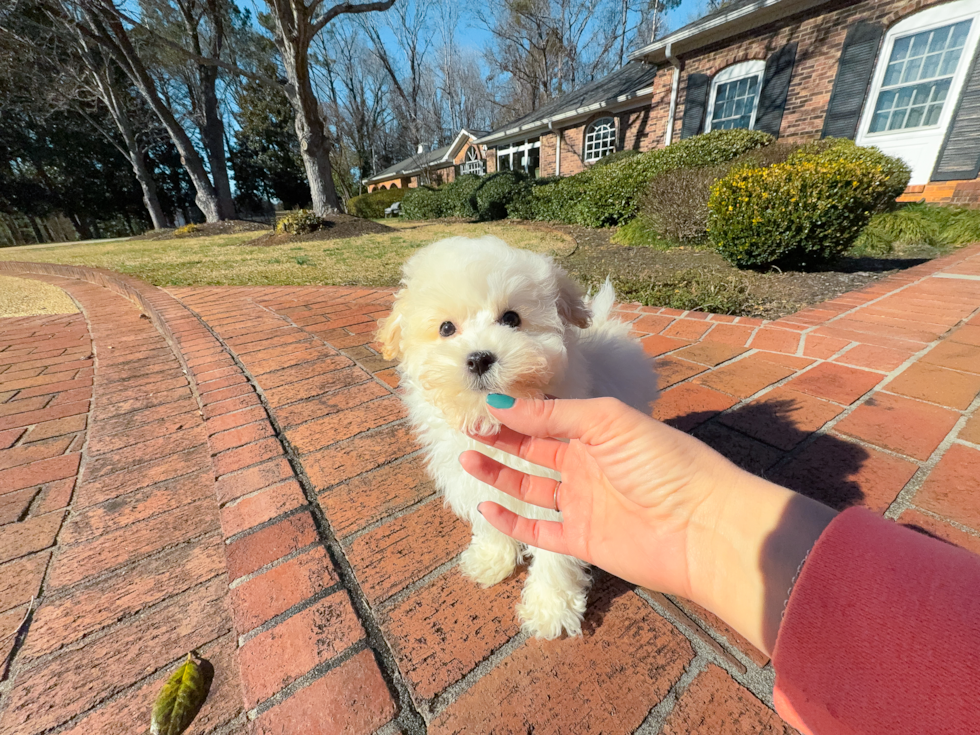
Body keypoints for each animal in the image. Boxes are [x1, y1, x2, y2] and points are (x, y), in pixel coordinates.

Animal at [378, 237, 660, 640]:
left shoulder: (557, 492)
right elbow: (490, 516)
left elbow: (556, 552)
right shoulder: (476, 478)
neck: (492, 420)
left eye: (512, 319)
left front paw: (551, 609)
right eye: (446, 328)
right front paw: (491, 560)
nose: (479, 358)